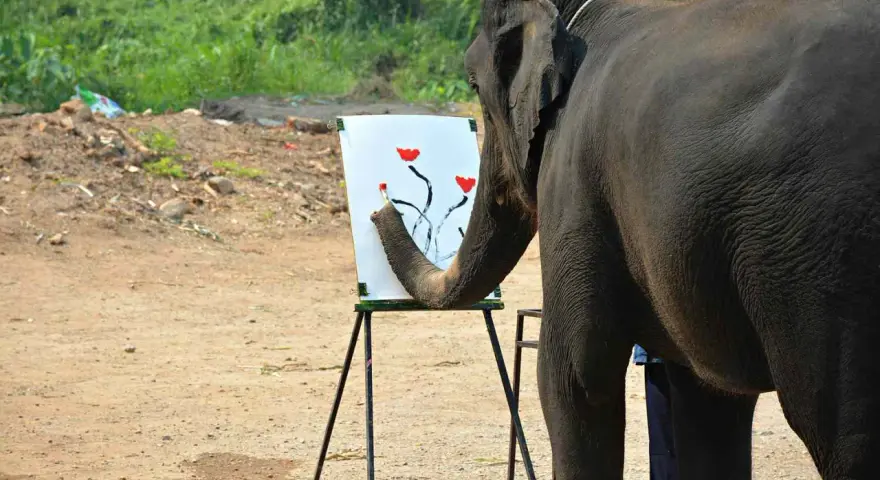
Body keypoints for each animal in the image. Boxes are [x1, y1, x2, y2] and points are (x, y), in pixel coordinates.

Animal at [369, 0, 880, 478]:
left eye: (473, 86)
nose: (381, 206)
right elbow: (708, 401)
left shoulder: (573, 181)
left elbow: (573, 378)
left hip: (828, 248)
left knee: (846, 436)